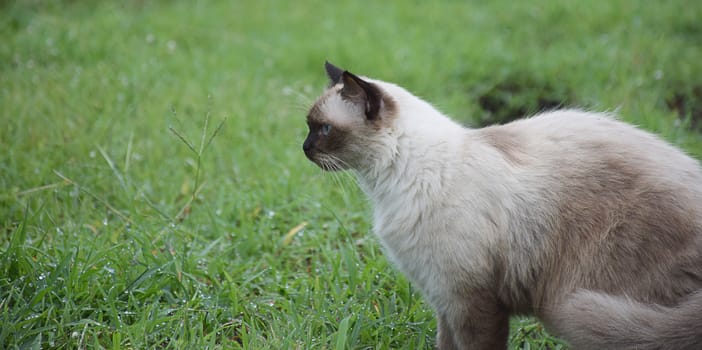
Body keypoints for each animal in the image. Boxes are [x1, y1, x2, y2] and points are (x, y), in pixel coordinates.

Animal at [302, 61, 702, 348]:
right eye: (309, 126)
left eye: (323, 129)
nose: (303, 148)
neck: (388, 188)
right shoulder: (443, 298)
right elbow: (445, 344)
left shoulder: (471, 299)